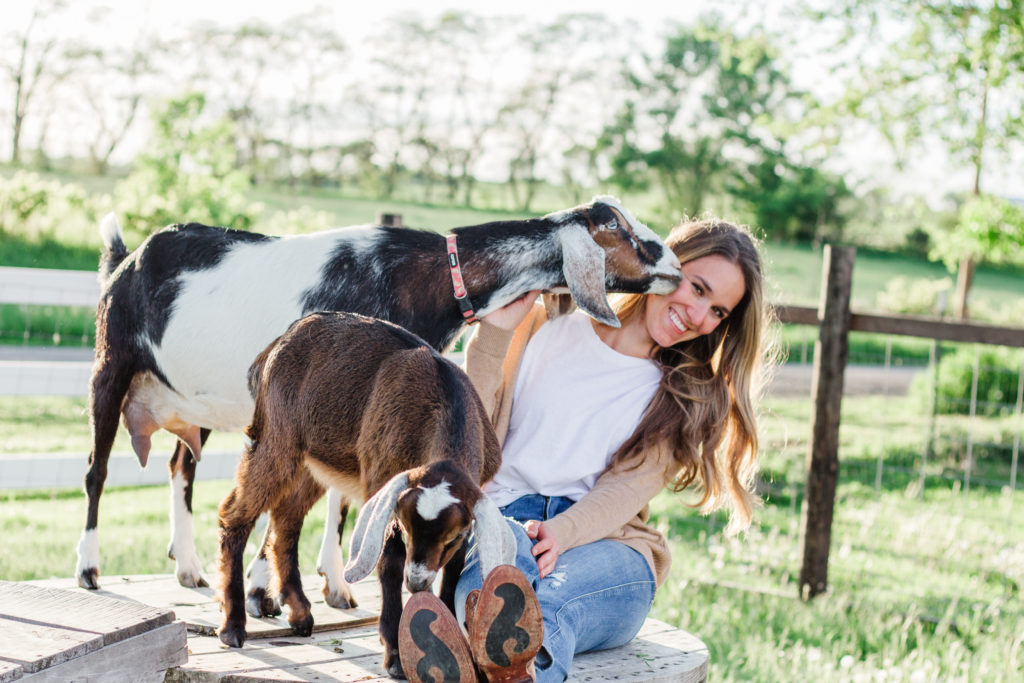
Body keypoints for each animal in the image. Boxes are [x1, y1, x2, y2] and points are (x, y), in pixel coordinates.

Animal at [77, 195, 682, 612]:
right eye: (618, 228)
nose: (675, 266)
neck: (427, 277)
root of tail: (128, 258)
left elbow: (341, 500)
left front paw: (329, 584)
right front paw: (269, 589)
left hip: (196, 401)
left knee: (181, 466)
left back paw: (189, 567)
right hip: (110, 366)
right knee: (96, 469)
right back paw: (89, 569)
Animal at [217, 311, 516, 678]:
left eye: (453, 537)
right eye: (406, 528)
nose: (417, 582)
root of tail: (281, 340)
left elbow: (455, 568)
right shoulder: (381, 479)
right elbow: (390, 562)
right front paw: (397, 655)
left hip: (315, 459)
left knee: (286, 520)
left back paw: (300, 614)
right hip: (276, 437)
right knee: (235, 513)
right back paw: (233, 627)